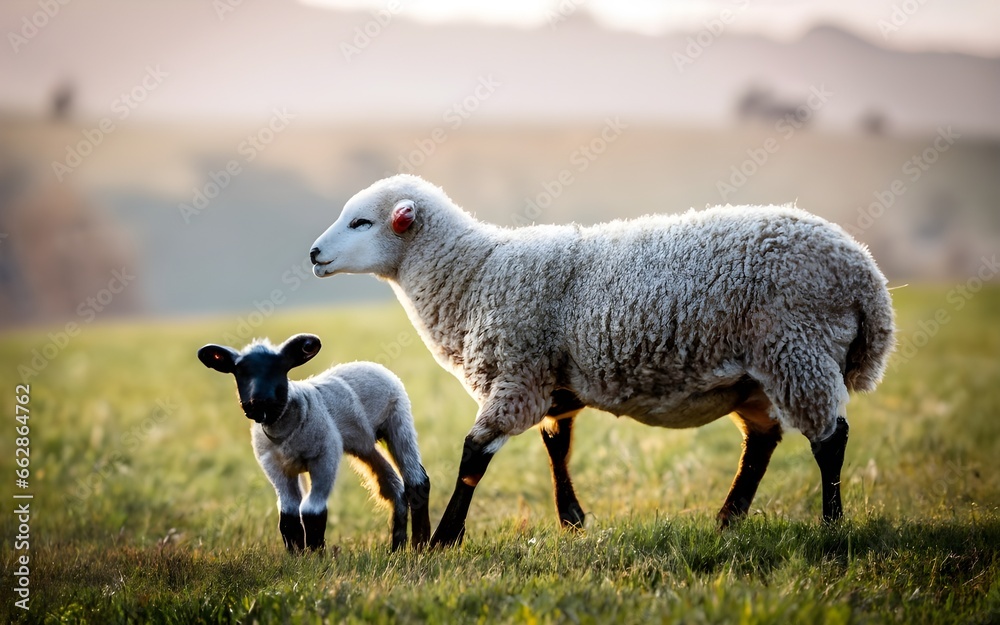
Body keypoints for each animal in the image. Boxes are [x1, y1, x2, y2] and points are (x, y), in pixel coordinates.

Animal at [197, 333, 431, 552]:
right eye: (240, 371)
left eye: (280, 368)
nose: (258, 402)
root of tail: (371, 364)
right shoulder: (274, 466)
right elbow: (288, 514)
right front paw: (297, 557)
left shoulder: (324, 455)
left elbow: (312, 510)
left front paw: (316, 556)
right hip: (363, 443)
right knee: (393, 487)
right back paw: (396, 547)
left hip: (398, 420)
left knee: (417, 481)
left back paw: (420, 545)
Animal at [308, 174, 895, 547]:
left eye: (362, 223)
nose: (314, 254)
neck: (474, 274)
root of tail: (867, 277)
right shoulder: (552, 381)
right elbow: (557, 446)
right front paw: (571, 520)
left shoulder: (517, 373)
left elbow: (475, 454)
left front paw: (445, 539)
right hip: (760, 373)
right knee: (761, 444)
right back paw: (728, 520)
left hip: (799, 348)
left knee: (829, 440)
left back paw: (831, 524)